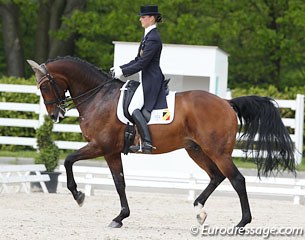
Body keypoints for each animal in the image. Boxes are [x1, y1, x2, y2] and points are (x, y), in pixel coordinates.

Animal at [27, 55, 294, 229]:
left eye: (45, 86)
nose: (55, 115)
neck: (98, 96)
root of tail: (226, 103)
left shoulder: (101, 146)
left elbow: (68, 160)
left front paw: (78, 195)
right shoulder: (112, 152)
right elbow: (119, 183)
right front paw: (120, 217)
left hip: (217, 151)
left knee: (236, 179)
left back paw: (242, 223)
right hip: (196, 149)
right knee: (216, 176)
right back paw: (199, 210)